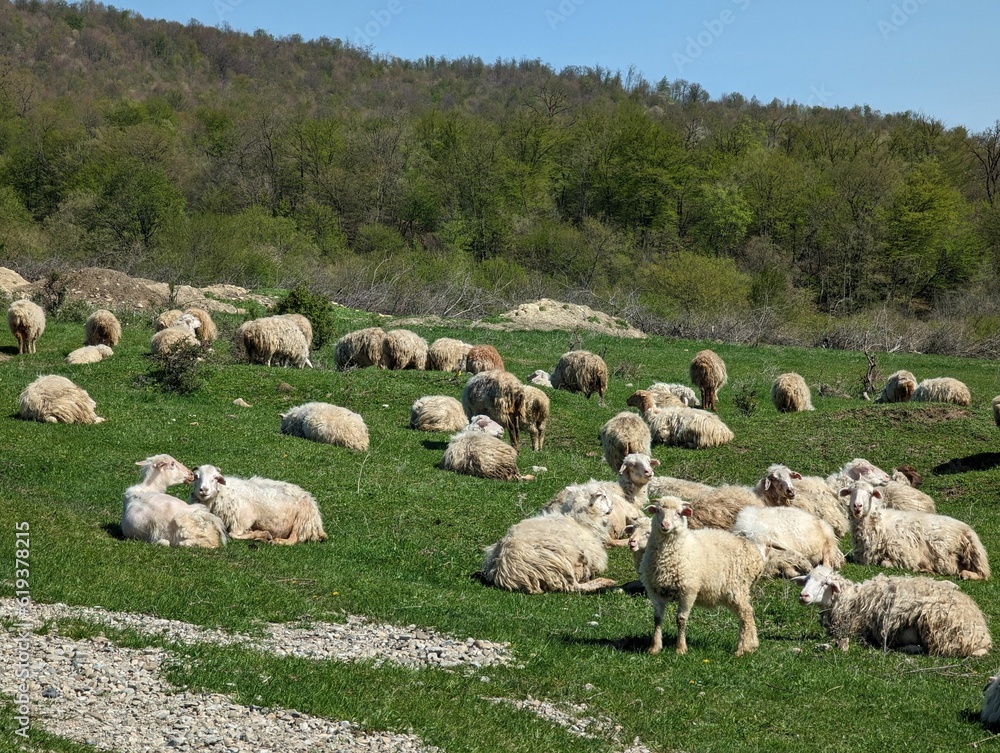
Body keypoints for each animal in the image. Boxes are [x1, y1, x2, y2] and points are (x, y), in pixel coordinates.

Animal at [189, 465, 327, 545]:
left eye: (216, 478)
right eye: (196, 476)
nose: (203, 490)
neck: (223, 491)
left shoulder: (244, 518)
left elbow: (234, 535)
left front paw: (261, 533)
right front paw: (260, 534)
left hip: (301, 520)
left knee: (294, 539)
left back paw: (277, 541)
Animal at [481, 485, 616, 593]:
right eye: (603, 496)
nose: (612, 506)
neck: (579, 521)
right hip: (560, 563)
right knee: (574, 587)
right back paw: (605, 582)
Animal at [639, 496, 765, 655]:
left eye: (679, 513)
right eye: (658, 511)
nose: (665, 525)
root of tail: (755, 553)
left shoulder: (688, 590)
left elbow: (681, 619)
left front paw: (680, 648)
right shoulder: (655, 591)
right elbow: (657, 619)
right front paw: (655, 647)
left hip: (737, 588)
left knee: (746, 614)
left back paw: (742, 648)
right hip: (728, 593)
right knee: (746, 614)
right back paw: (752, 645)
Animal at [797, 565, 991, 657]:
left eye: (825, 583)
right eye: (806, 579)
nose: (803, 595)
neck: (849, 599)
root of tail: (981, 637)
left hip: (934, 625)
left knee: (930, 650)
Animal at [842, 481, 990, 580]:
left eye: (870, 493)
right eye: (851, 492)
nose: (857, 506)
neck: (878, 524)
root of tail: (966, 529)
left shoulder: (905, 554)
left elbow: (885, 563)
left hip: (966, 554)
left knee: (982, 574)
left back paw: (965, 574)